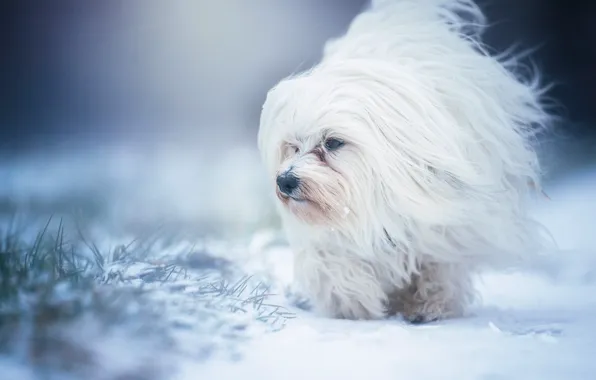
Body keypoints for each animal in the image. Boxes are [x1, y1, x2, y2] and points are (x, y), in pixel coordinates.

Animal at [256, 0, 556, 324]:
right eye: (292, 146)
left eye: (333, 142)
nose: (285, 180)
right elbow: (331, 262)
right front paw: (354, 301)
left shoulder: (447, 225)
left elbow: (440, 264)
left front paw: (430, 304)